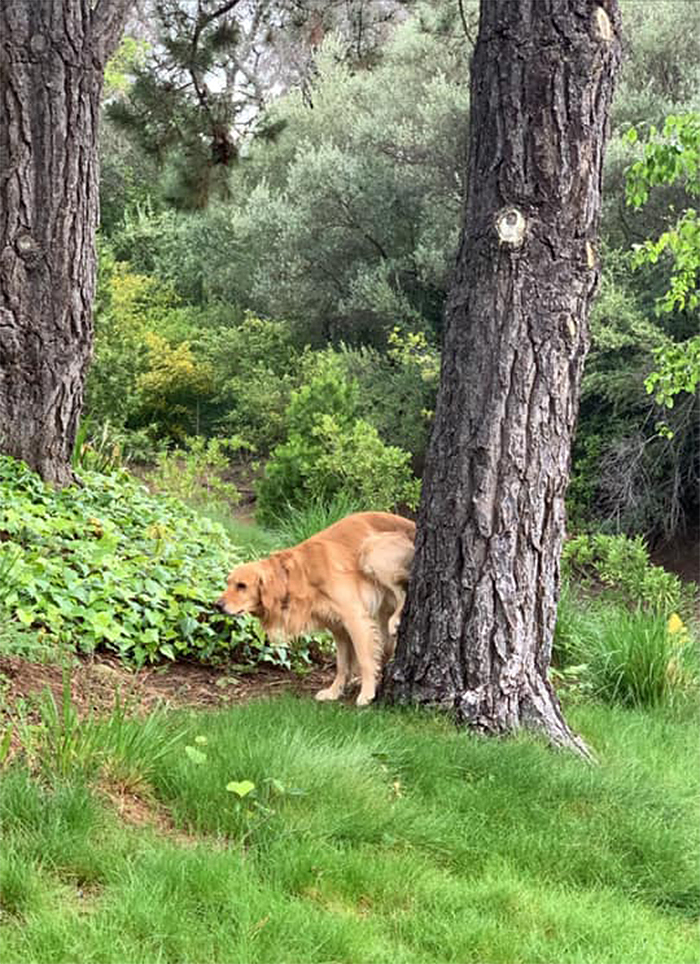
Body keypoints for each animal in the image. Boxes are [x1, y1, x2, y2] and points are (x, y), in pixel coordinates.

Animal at [217, 512, 416, 708]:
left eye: (241, 586)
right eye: (228, 583)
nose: (217, 605)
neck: (298, 575)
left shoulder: (355, 619)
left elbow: (365, 659)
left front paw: (367, 693)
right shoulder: (339, 628)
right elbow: (342, 664)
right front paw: (334, 691)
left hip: (371, 550)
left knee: (403, 591)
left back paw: (396, 620)